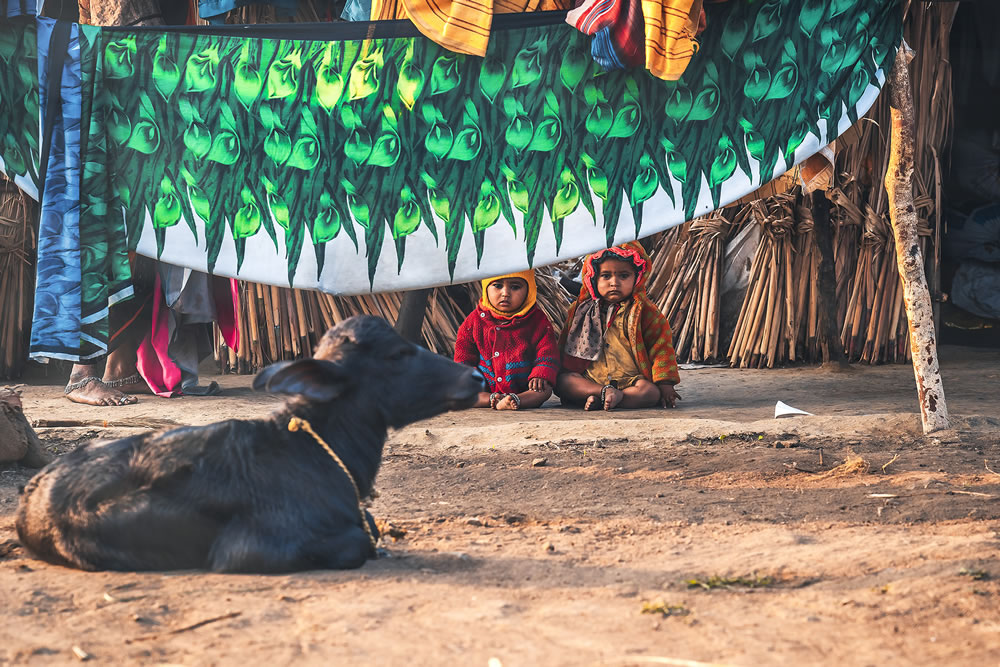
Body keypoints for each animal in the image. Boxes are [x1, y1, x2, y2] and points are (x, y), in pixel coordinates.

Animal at [15, 318, 484, 576]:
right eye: (397, 354)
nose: (476, 376)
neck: (315, 453)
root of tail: (33, 493)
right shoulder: (252, 550)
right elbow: (358, 542)